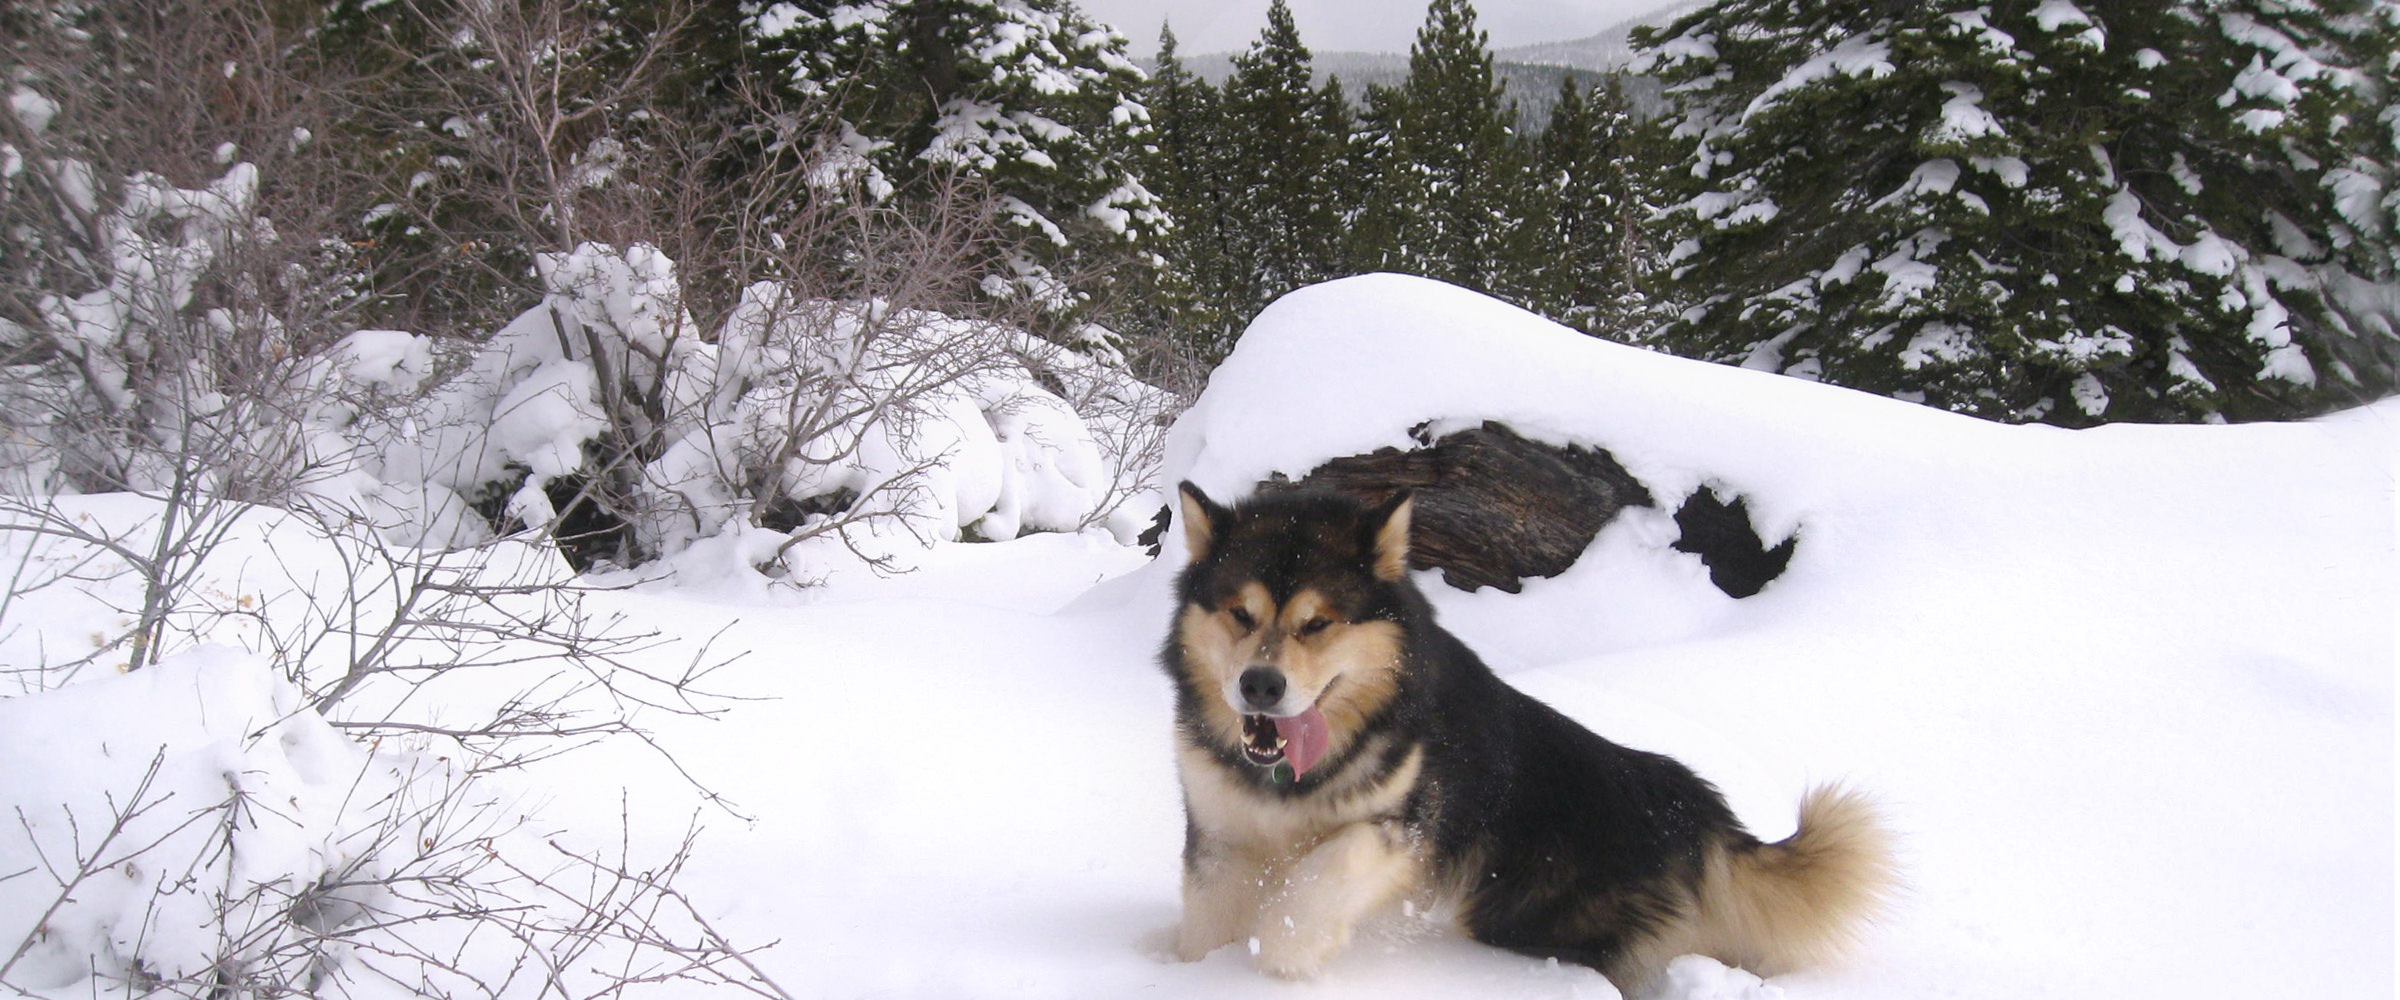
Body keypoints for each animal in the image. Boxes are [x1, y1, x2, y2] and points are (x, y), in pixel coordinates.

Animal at [1161, 482, 1891, 983]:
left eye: (1317, 623)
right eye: (1240, 614)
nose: (1260, 685)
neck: (1288, 777)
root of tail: (1689, 803)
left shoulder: (1405, 827)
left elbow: (1324, 872)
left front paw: (1285, 951)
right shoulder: (1221, 841)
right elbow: (1204, 926)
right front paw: (1201, 973)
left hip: (1532, 916)